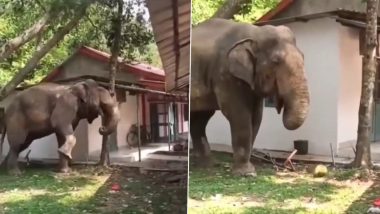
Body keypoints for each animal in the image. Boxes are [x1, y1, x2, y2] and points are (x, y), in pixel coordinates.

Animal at [191, 18, 310, 176]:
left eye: (303, 56)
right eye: (276, 61)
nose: (279, 104)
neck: (254, 32)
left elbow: (256, 117)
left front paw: (247, 169)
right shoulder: (225, 74)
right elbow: (239, 115)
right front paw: (246, 173)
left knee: (199, 119)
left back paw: (207, 165)